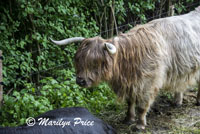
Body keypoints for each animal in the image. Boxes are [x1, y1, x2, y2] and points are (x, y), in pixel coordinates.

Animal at [50, 6, 200, 130]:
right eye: (78, 60)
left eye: (96, 62)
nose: (80, 81)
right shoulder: (130, 84)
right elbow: (130, 102)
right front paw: (128, 119)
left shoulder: (149, 84)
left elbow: (142, 106)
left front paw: (139, 125)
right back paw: (177, 102)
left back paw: (197, 102)